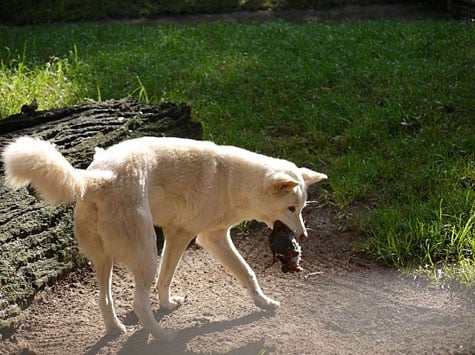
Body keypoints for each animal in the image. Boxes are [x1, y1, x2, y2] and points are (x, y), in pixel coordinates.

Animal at [1, 136, 328, 340]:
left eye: (301, 208)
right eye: (291, 208)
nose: (303, 236)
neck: (234, 181)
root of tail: (95, 179)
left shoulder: (189, 236)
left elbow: (178, 278)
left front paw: (263, 303)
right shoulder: (200, 237)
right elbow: (242, 271)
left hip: (104, 260)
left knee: (104, 299)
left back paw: (116, 329)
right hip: (146, 253)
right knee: (138, 304)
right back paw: (162, 336)